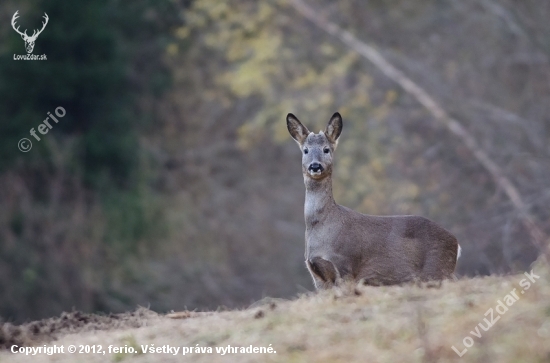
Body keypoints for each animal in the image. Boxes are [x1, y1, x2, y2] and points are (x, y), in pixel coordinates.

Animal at [288, 111, 462, 290]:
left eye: (326, 149)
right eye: (306, 150)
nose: (315, 166)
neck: (323, 224)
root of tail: (456, 243)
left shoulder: (345, 266)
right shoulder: (318, 276)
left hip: (437, 269)